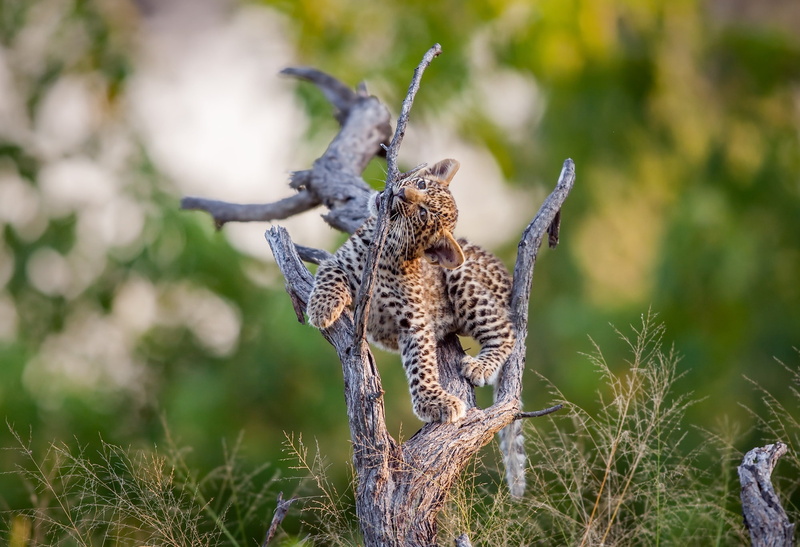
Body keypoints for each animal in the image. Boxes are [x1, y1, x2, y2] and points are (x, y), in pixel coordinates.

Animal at [306, 158, 515, 423]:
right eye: (422, 183)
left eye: (423, 214)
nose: (402, 193)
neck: (385, 247)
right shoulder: (338, 262)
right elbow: (330, 276)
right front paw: (322, 310)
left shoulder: (413, 319)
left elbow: (421, 362)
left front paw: (434, 401)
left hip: (461, 277)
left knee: (507, 332)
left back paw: (479, 366)